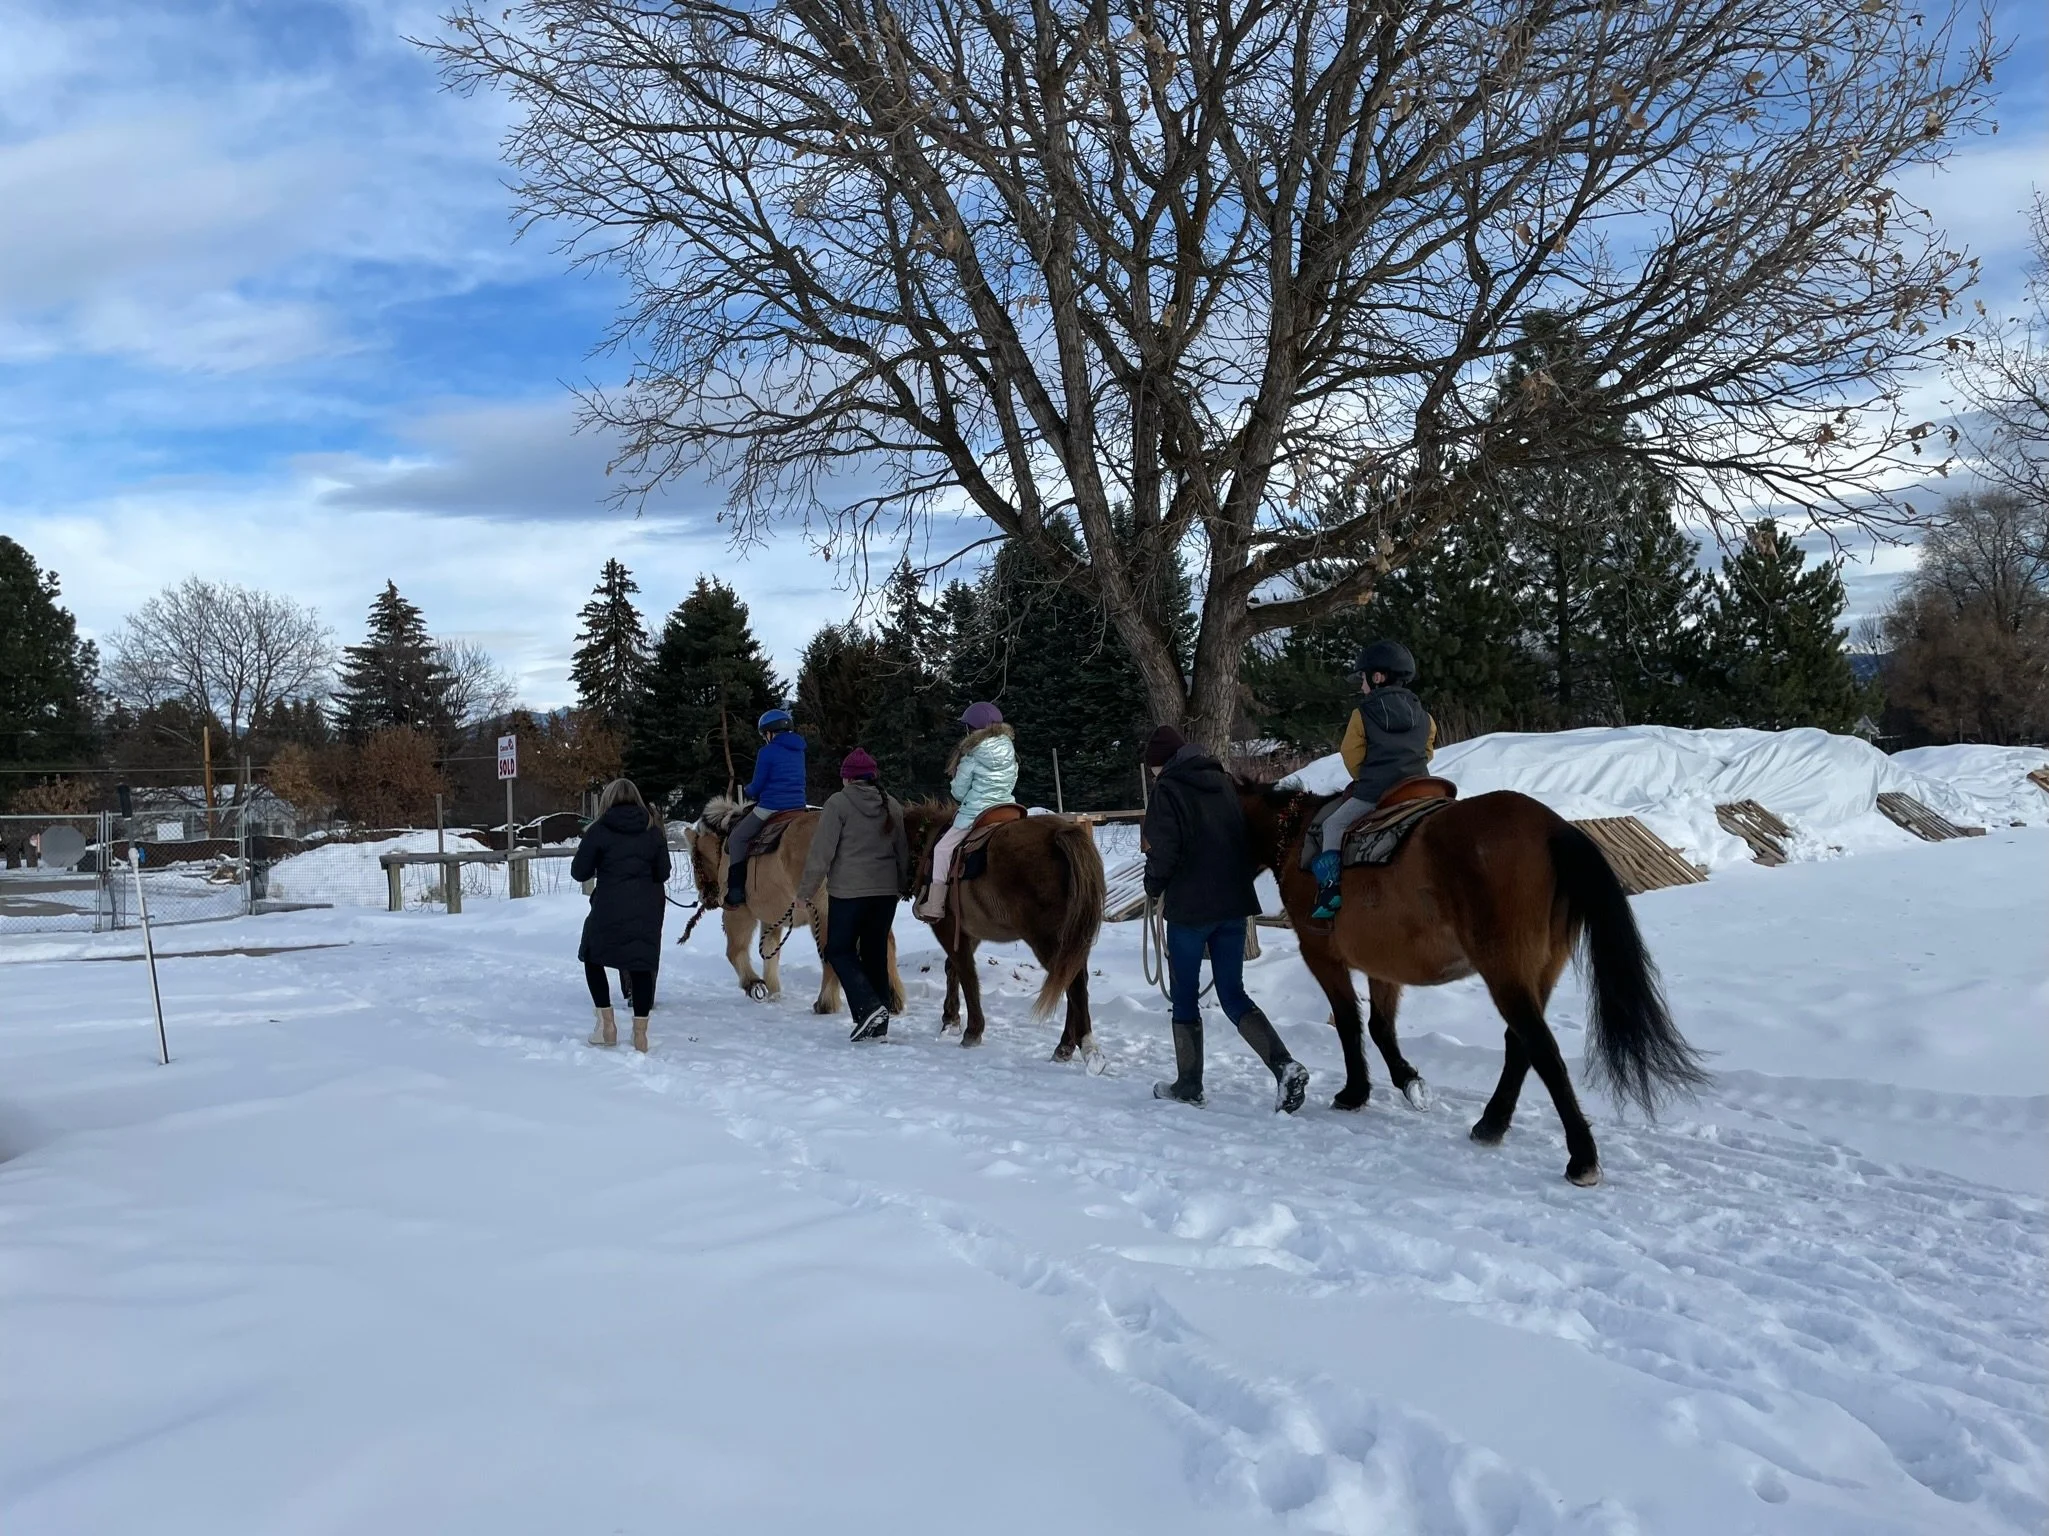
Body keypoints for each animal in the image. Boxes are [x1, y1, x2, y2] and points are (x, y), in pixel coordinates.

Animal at [685, 796, 905, 1016]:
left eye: (695, 861)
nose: (704, 897)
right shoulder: (772, 918)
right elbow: (770, 951)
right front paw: (774, 992)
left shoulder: (739, 914)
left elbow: (735, 951)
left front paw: (754, 984)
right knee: (885, 944)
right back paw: (893, 998)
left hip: (824, 913)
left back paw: (825, 1003)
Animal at [901, 802, 1107, 1066]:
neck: (926, 841)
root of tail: (1060, 834)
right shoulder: (969, 932)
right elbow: (953, 969)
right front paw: (951, 1019)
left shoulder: (946, 927)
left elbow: (966, 973)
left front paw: (972, 1031)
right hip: (1075, 939)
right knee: (1074, 978)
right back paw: (1066, 1046)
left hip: (1047, 940)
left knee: (1073, 983)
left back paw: (1084, 1047)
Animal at [1236, 782, 1707, 1185]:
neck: (1293, 833)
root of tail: (1553, 828)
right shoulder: (1383, 965)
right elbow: (1380, 1026)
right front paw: (1409, 1081)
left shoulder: (1322, 956)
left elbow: (1351, 1024)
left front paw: (1355, 1092)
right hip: (1539, 968)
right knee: (1520, 1043)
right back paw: (1491, 1124)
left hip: (1505, 968)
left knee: (1542, 1048)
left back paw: (1582, 1157)